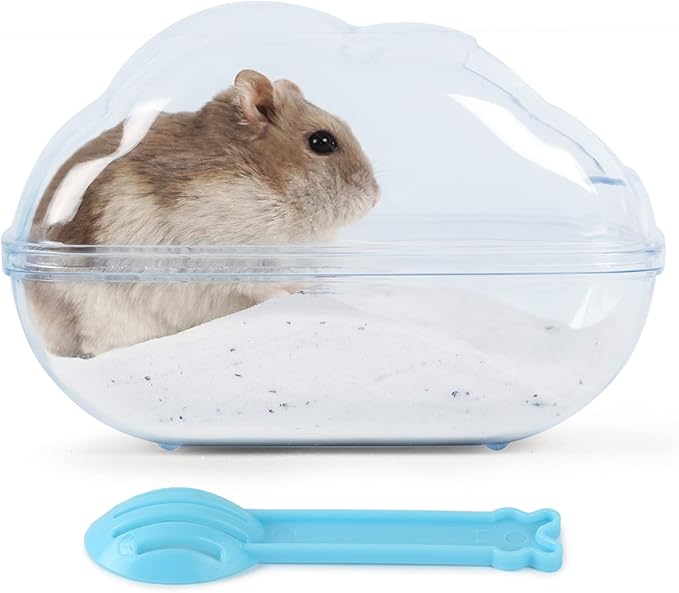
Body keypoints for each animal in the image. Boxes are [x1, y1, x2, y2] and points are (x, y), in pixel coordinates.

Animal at [26, 69, 379, 358]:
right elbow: (260, 286)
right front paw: (290, 295)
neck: (272, 188)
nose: (375, 198)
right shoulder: (229, 257)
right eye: (322, 141)